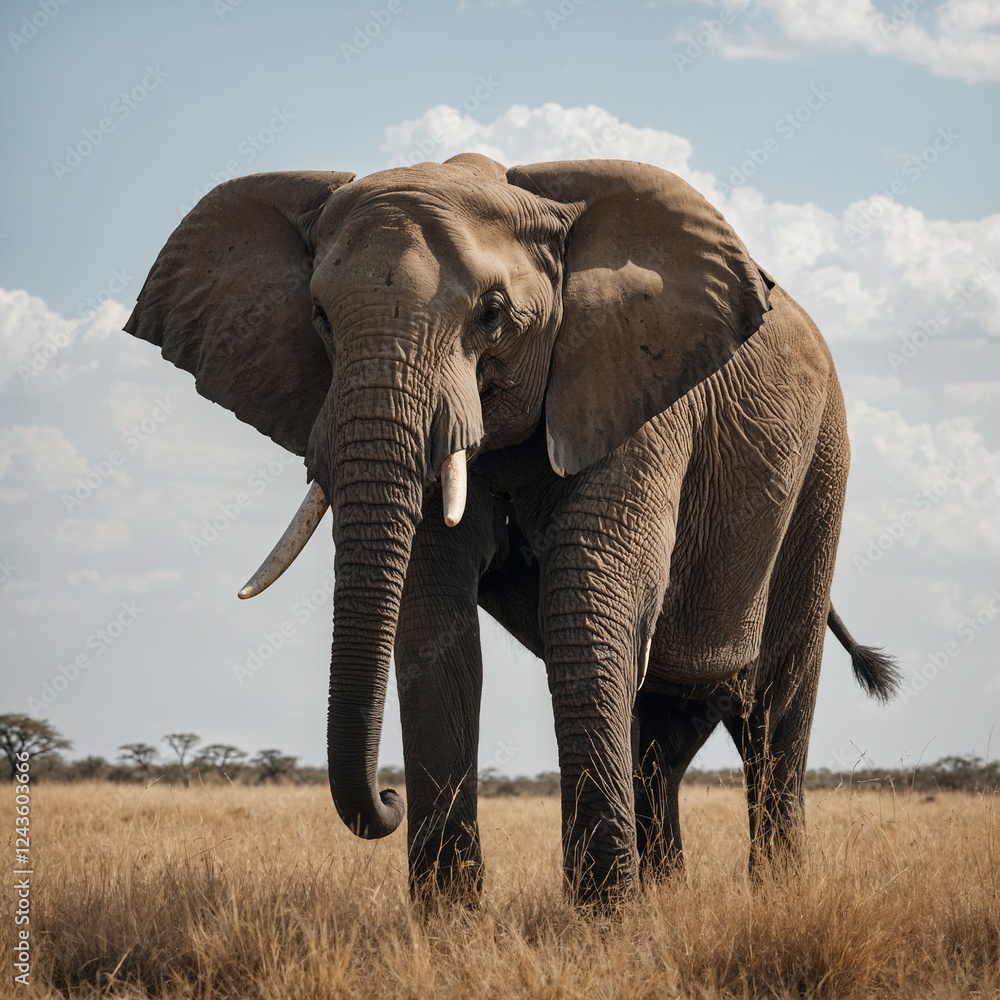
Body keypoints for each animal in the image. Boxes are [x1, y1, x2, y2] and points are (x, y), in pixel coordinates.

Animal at [124, 153, 899, 907]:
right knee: (663, 735)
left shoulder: (636, 389)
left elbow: (590, 593)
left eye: (492, 314)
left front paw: (604, 921)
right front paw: (450, 921)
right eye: (318, 317)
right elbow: (433, 616)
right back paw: (667, 893)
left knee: (775, 714)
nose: (387, 796)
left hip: (822, 472)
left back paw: (773, 895)